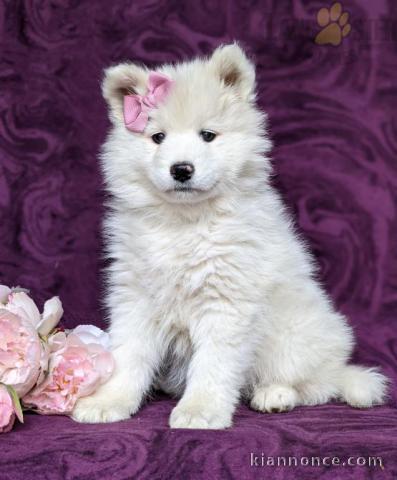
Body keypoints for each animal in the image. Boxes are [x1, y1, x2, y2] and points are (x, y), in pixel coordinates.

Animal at [72, 44, 386, 428]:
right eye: (158, 137)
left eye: (207, 135)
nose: (181, 169)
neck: (185, 222)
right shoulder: (136, 298)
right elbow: (128, 355)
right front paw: (109, 401)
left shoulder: (226, 302)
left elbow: (213, 364)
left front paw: (200, 411)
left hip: (292, 337)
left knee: (315, 384)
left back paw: (275, 395)